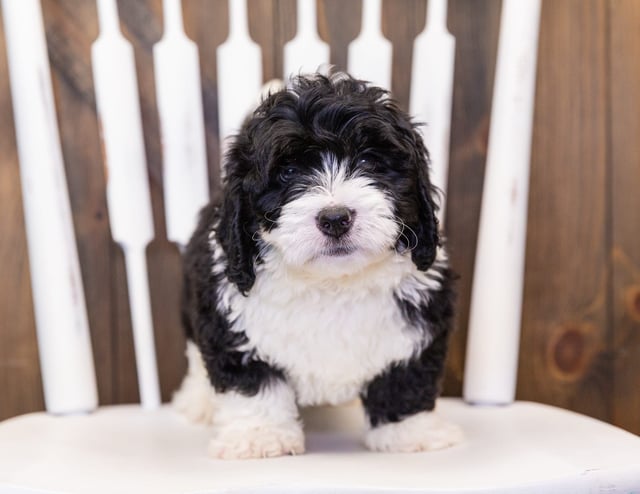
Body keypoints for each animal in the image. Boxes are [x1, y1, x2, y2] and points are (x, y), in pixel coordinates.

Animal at [175, 72, 462, 460]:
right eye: (288, 172)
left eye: (369, 162)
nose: (335, 218)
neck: (331, 283)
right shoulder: (229, 323)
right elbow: (252, 384)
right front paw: (260, 436)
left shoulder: (422, 317)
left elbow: (406, 377)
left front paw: (409, 433)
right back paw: (198, 402)